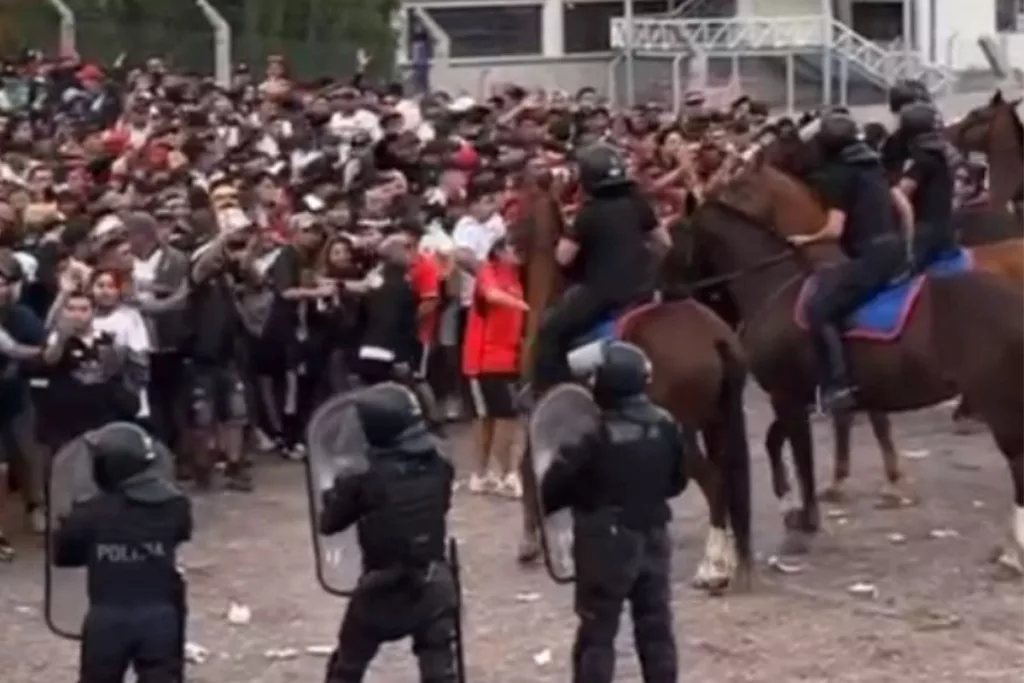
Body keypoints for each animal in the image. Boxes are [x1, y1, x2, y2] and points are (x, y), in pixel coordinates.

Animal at [512, 165, 753, 593]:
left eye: (518, 205)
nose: (502, 243)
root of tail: (714, 335)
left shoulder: (539, 411)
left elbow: (528, 470)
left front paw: (531, 544)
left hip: (683, 428)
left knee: (714, 480)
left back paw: (712, 568)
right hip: (718, 418)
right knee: (727, 477)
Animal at [671, 160, 1024, 573]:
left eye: (674, 237)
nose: (663, 292)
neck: (777, 285)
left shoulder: (788, 396)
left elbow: (803, 456)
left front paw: (808, 521)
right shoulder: (800, 396)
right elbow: (779, 441)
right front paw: (792, 505)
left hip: (999, 398)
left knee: (1016, 460)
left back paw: (1014, 550)